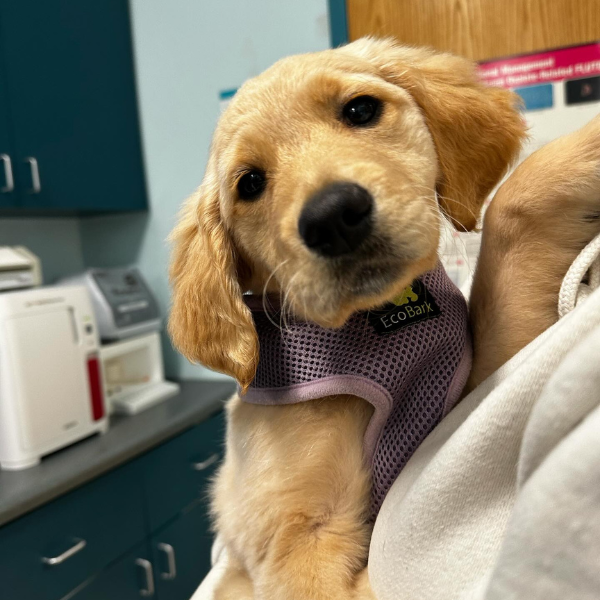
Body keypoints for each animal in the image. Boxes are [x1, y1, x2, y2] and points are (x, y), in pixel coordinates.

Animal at [166, 35, 600, 596]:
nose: (332, 217)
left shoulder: (468, 382)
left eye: (360, 110)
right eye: (251, 184)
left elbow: (511, 220)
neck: (374, 320)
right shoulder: (296, 545)